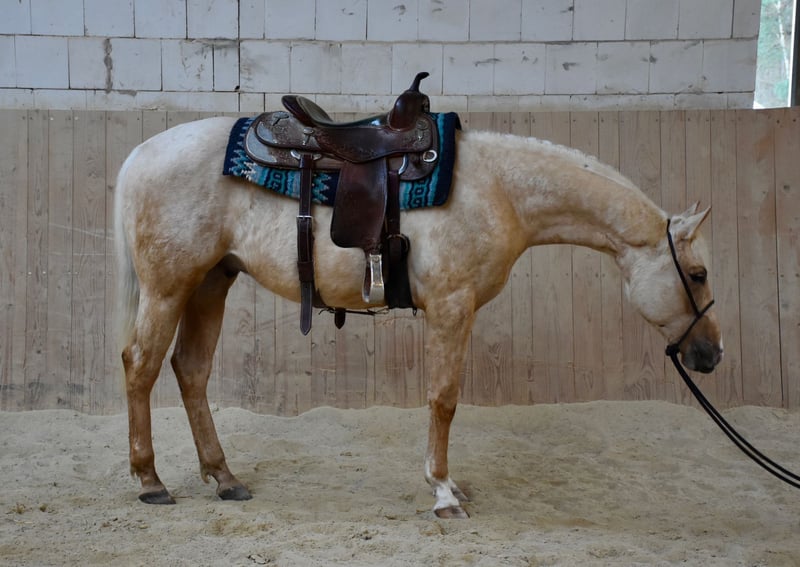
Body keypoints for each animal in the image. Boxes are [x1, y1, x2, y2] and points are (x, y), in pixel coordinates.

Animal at [114, 116, 723, 519]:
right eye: (697, 274)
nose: (711, 354)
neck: (499, 190)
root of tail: (140, 153)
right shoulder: (452, 307)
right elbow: (444, 399)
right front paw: (444, 491)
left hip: (211, 283)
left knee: (190, 371)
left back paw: (224, 477)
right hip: (169, 287)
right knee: (140, 365)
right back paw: (150, 481)